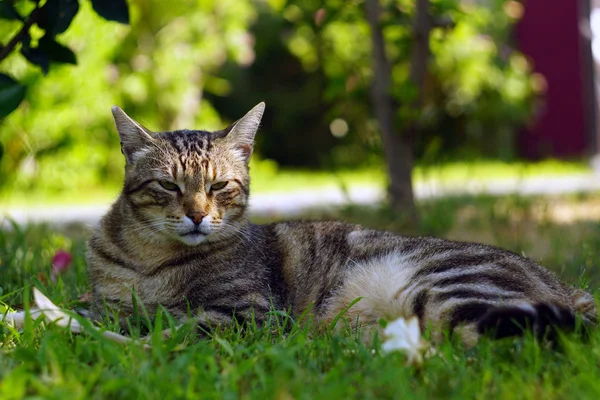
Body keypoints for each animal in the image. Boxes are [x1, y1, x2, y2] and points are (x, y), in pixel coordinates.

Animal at [86, 104, 596, 346]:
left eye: (219, 186)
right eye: (168, 185)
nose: (196, 214)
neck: (151, 260)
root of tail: (565, 285)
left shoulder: (249, 313)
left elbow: (168, 323)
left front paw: (117, 333)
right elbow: (100, 306)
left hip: (456, 289)